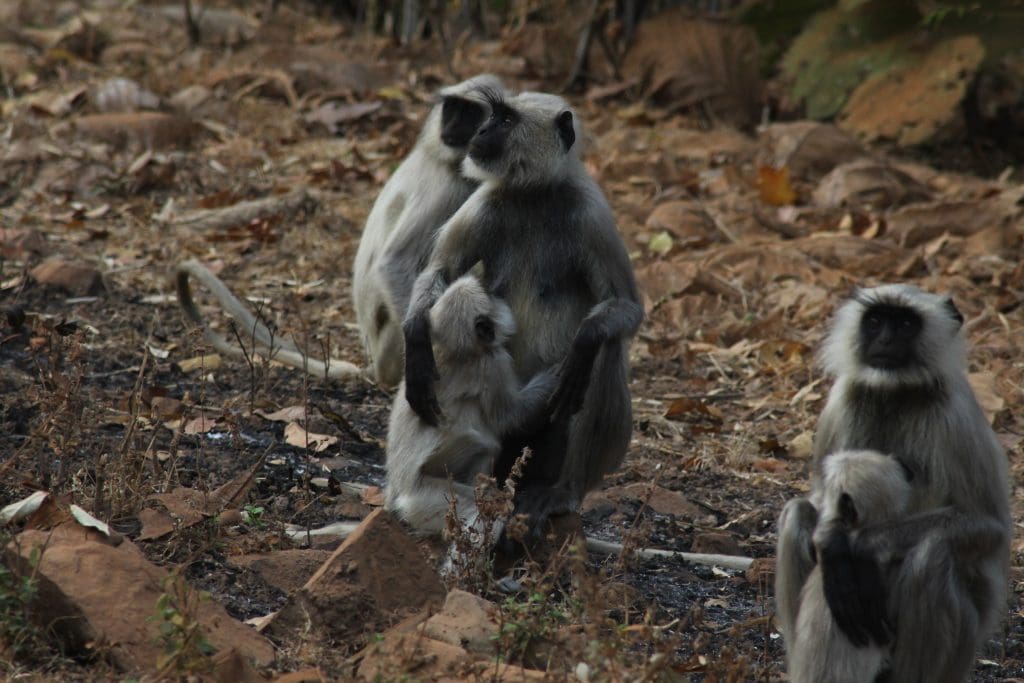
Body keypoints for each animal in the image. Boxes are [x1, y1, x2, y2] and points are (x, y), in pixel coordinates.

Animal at [354, 74, 505, 387]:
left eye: (470, 113)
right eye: (452, 108)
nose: (451, 126)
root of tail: (376, 364)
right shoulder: (448, 187)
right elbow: (395, 263)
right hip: (390, 348)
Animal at [385, 270, 561, 536]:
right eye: (490, 295)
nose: (497, 292)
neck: (462, 352)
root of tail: (399, 488)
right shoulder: (493, 361)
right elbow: (510, 417)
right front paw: (556, 373)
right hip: (428, 494)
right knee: (484, 441)